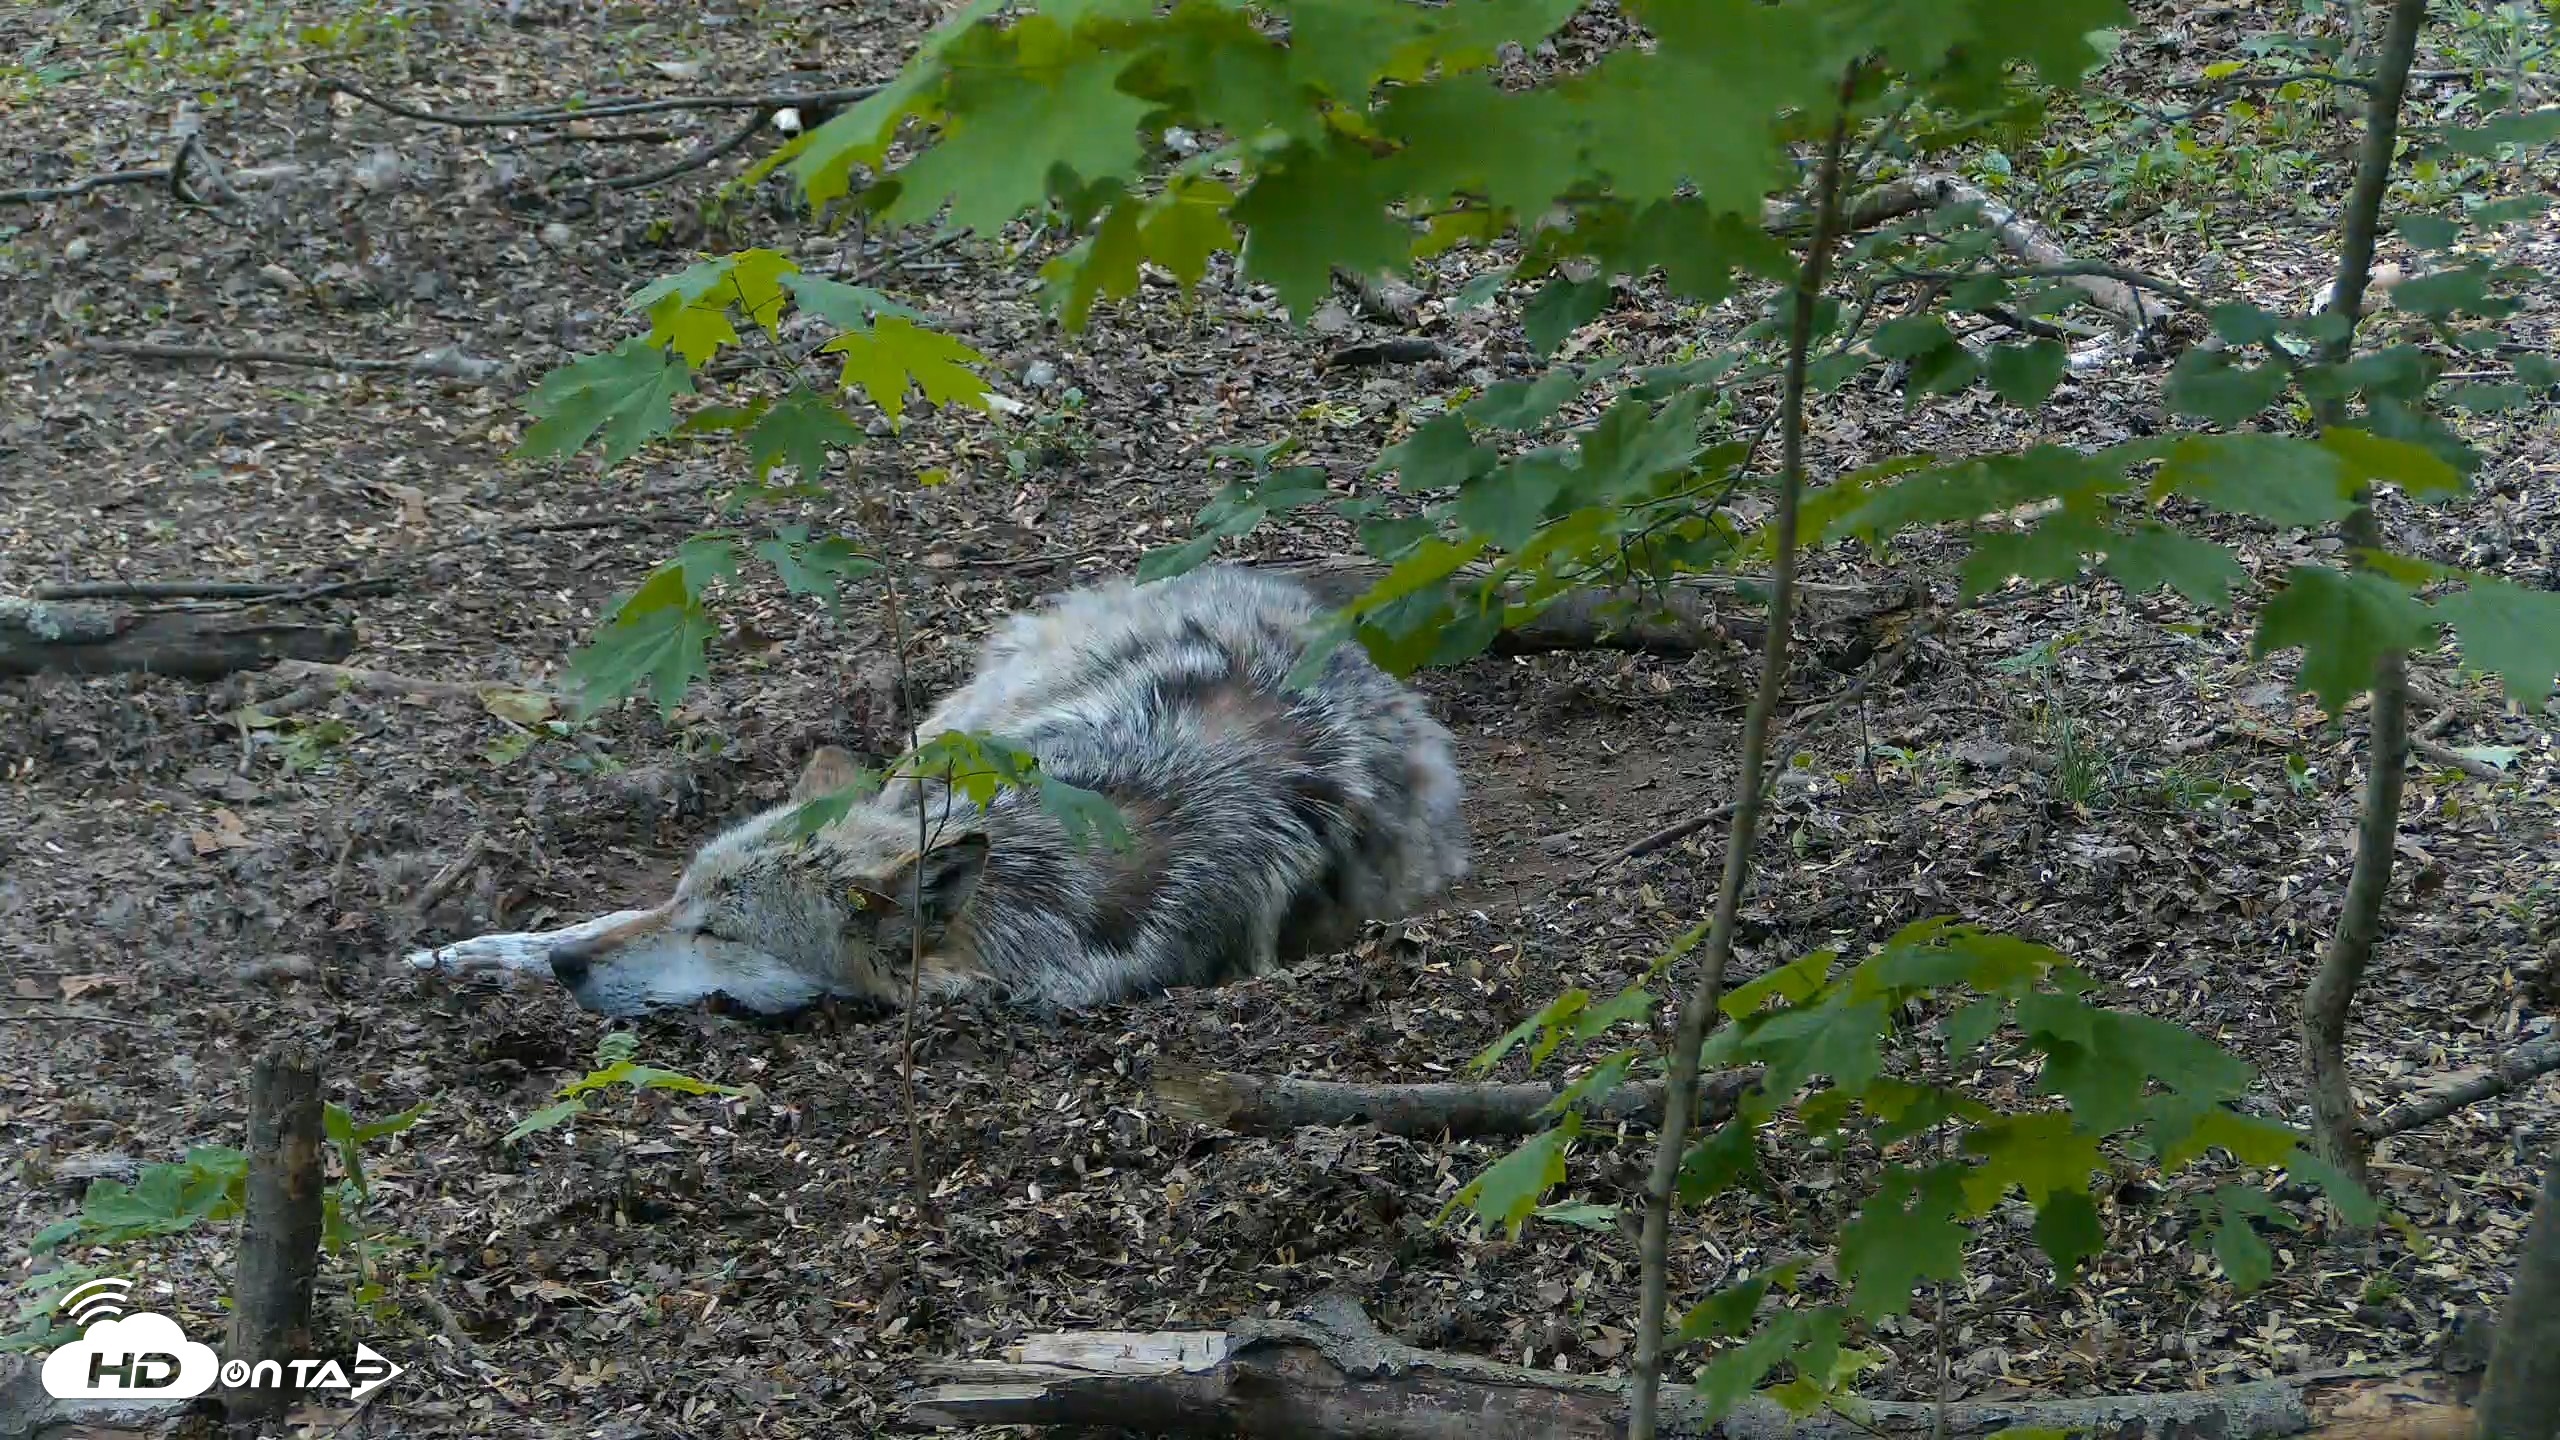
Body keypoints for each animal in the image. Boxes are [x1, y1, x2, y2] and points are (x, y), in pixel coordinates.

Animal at [407, 564, 1469, 1017]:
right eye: (682, 902)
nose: (568, 973)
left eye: (721, 935)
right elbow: (589, 916)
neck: (1041, 868)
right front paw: (485, 952)